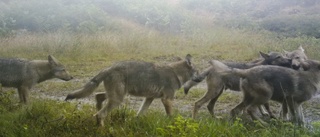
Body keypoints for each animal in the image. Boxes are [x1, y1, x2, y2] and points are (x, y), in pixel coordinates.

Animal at [65, 53, 198, 126]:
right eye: (198, 72)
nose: (201, 77)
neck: (176, 73)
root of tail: (109, 68)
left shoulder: (149, 98)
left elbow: (140, 114)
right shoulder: (167, 100)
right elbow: (171, 116)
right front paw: (173, 125)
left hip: (116, 95)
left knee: (98, 98)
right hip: (118, 99)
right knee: (99, 114)